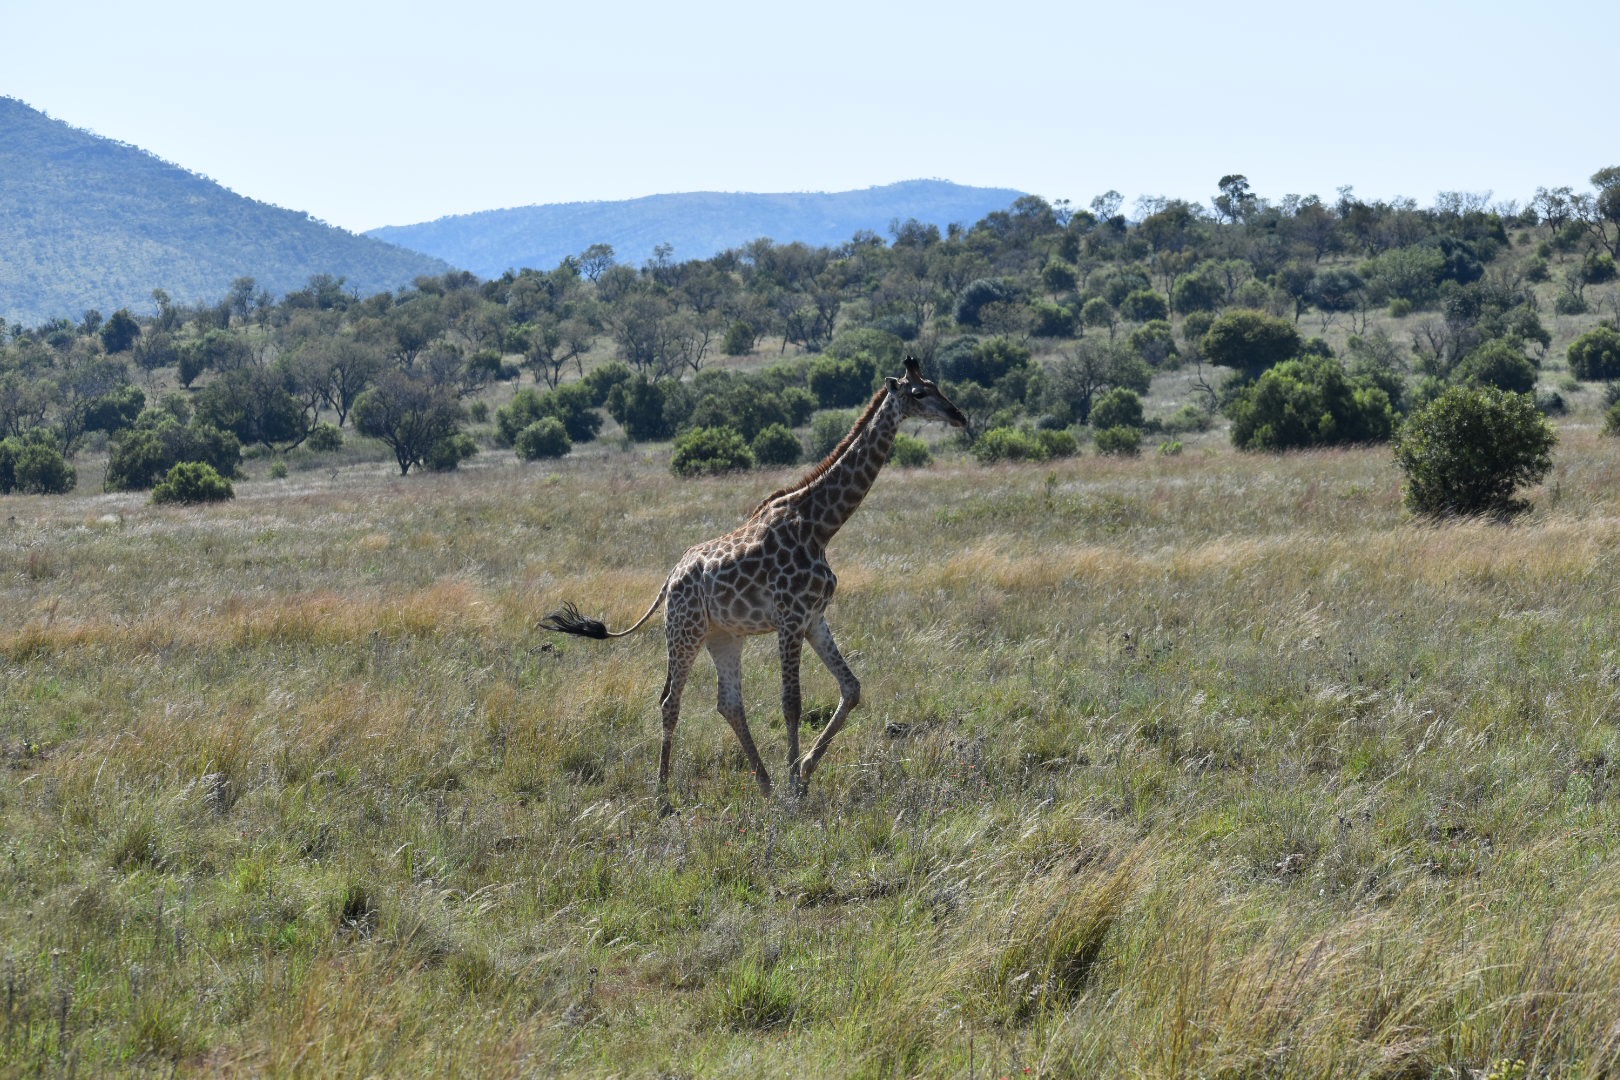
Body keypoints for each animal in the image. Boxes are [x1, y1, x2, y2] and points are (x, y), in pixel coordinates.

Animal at [541, 357, 968, 799]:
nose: (959, 415)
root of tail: (669, 579)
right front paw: (795, 784)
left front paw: (805, 771)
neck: (820, 525)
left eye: (937, 385)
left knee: (728, 702)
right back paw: (663, 796)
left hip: (723, 636)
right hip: (684, 631)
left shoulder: (814, 618)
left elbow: (851, 688)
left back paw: (763, 783)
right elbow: (791, 702)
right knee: (670, 701)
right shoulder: (790, 619)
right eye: (919, 393)